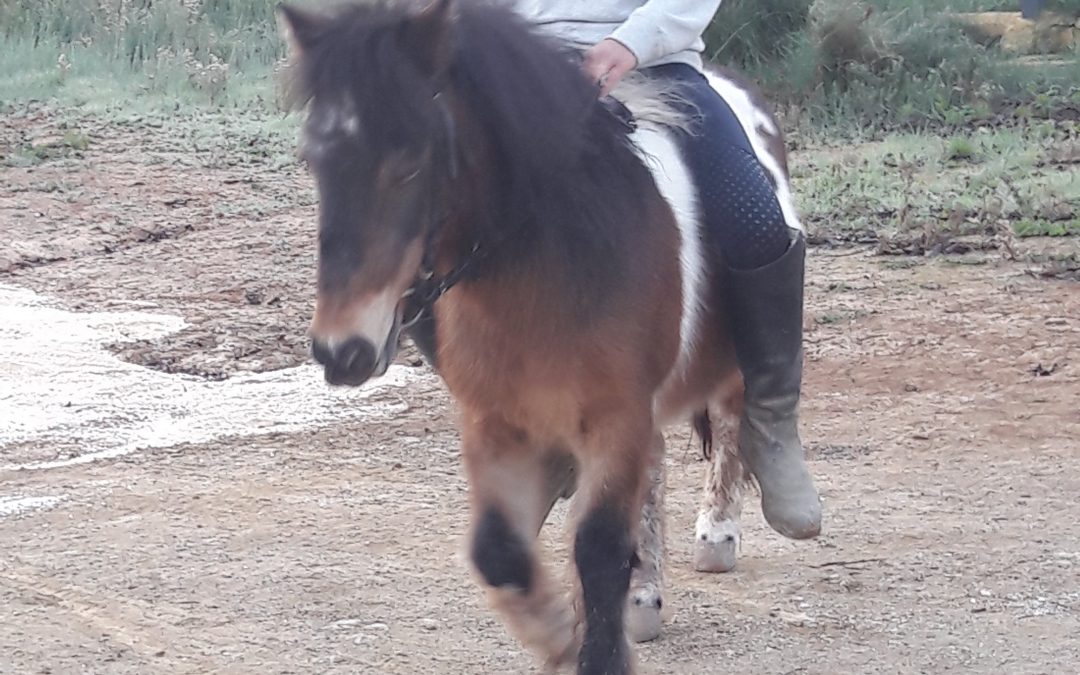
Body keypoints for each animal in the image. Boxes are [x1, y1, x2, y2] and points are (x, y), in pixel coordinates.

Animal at [278, 1, 803, 669]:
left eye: (412, 163)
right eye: (314, 160)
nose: (341, 351)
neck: (549, 258)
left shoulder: (615, 417)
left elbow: (598, 550)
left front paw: (594, 651)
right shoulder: (493, 419)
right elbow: (495, 549)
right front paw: (554, 630)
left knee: (737, 416)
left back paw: (723, 531)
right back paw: (644, 596)